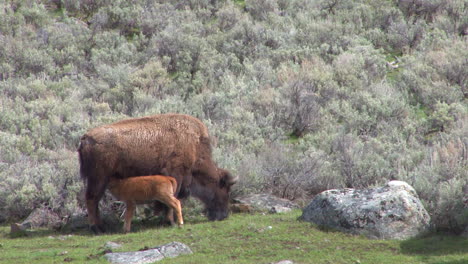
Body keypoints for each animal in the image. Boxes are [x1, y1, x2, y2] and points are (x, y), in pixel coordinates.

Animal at [78, 113, 238, 233]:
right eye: (225, 188)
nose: (223, 215)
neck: (195, 146)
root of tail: (86, 138)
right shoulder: (176, 175)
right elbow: (172, 200)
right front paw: (170, 221)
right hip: (98, 178)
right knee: (92, 199)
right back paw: (97, 228)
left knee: (93, 200)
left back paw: (100, 227)